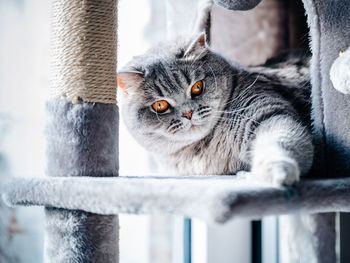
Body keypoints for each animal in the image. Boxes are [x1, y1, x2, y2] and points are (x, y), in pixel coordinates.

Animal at [119, 33, 314, 186]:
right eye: (160, 105)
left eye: (197, 87)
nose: (188, 113)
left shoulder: (268, 111)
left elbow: (280, 140)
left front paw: (276, 174)